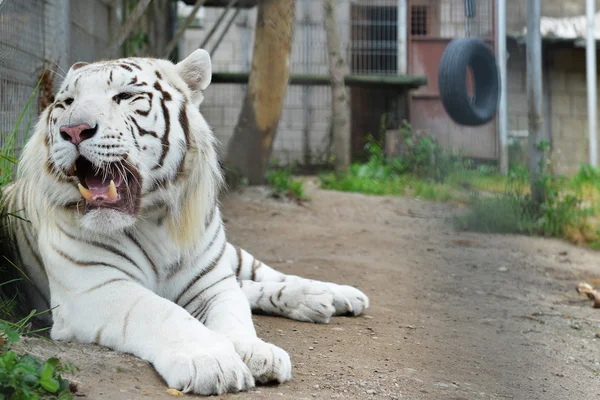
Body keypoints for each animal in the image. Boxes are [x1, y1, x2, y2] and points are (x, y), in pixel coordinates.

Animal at [1, 49, 370, 394]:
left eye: (125, 96)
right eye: (66, 103)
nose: (72, 130)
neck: (153, 218)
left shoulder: (212, 283)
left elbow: (235, 315)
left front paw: (256, 352)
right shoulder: (95, 286)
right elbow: (162, 312)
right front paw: (212, 362)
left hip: (229, 254)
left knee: (261, 275)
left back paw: (334, 294)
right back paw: (315, 301)